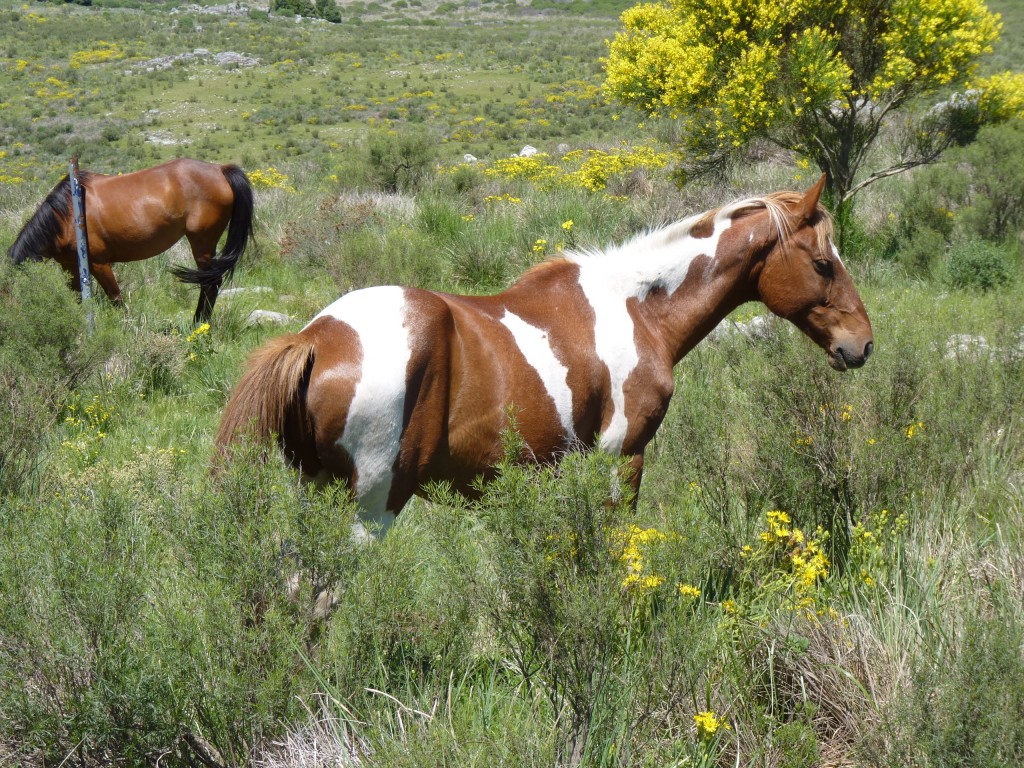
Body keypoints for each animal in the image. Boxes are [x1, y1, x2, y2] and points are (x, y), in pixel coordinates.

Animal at [9, 157, 256, 323]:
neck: (67, 214)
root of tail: (220, 169)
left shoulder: (99, 264)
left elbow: (116, 298)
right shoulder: (71, 266)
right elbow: (77, 297)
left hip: (202, 243)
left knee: (210, 284)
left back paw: (199, 323)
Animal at [216, 175, 872, 536]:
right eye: (823, 263)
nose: (861, 344)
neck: (641, 309)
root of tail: (316, 338)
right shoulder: (622, 457)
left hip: (317, 494)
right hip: (372, 504)